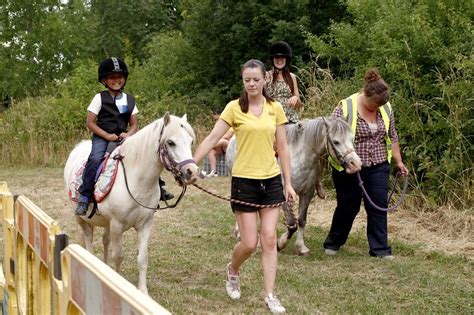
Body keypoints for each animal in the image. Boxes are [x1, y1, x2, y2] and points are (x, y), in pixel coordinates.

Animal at [64, 112, 198, 296]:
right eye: (171, 142)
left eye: (191, 141)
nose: (192, 172)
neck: (137, 180)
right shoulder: (117, 225)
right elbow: (118, 256)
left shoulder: (145, 225)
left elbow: (142, 257)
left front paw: (143, 291)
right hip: (82, 219)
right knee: (88, 240)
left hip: (106, 222)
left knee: (105, 240)